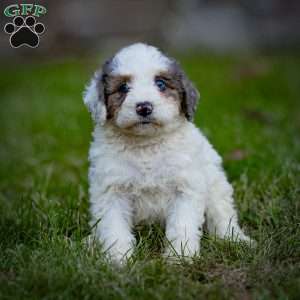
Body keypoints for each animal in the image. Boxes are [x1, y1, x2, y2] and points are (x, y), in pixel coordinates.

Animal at [83, 43, 252, 264]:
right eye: (123, 87)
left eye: (161, 84)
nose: (144, 107)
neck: (146, 146)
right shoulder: (112, 190)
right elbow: (114, 227)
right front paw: (118, 260)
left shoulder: (185, 187)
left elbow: (182, 225)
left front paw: (180, 258)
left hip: (216, 185)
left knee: (222, 216)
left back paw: (237, 240)